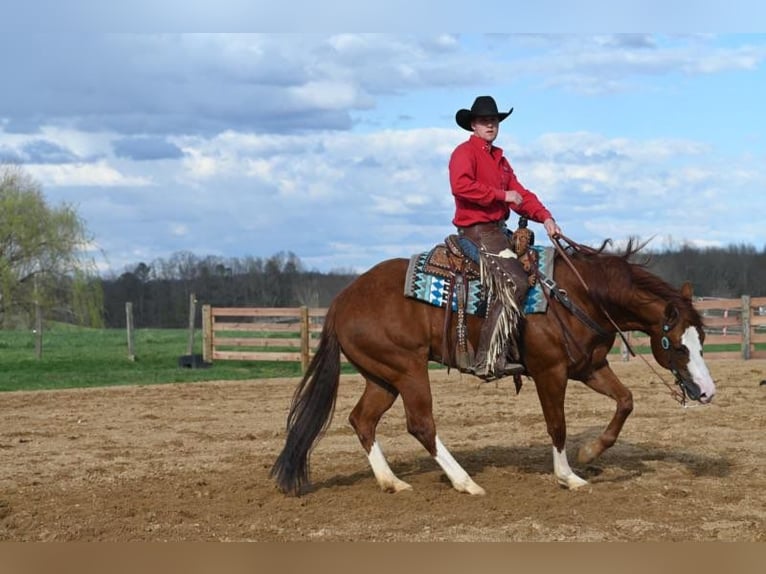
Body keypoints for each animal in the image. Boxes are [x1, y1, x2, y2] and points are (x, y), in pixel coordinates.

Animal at [272, 236, 720, 498]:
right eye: (677, 346)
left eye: (702, 340)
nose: (706, 391)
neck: (578, 296)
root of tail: (341, 302)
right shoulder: (550, 372)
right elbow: (557, 425)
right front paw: (568, 476)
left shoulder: (589, 366)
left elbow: (625, 401)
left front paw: (590, 451)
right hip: (407, 370)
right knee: (421, 425)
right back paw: (465, 482)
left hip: (382, 377)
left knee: (361, 420)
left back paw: (392, 481)